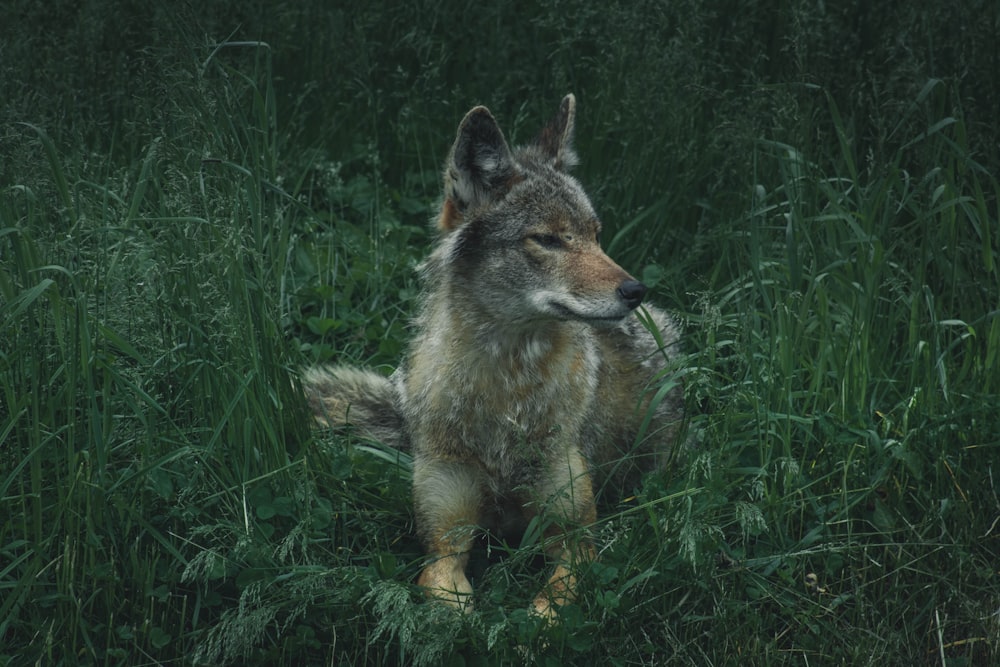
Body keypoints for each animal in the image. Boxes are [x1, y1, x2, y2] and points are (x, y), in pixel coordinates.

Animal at [300, 94, 684, 620]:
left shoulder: (577, 543)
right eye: (547, 239)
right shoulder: (443, 544)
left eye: (595, 235)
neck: (507, 393)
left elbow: (547, 611)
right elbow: (452, 603)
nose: (636, 291)